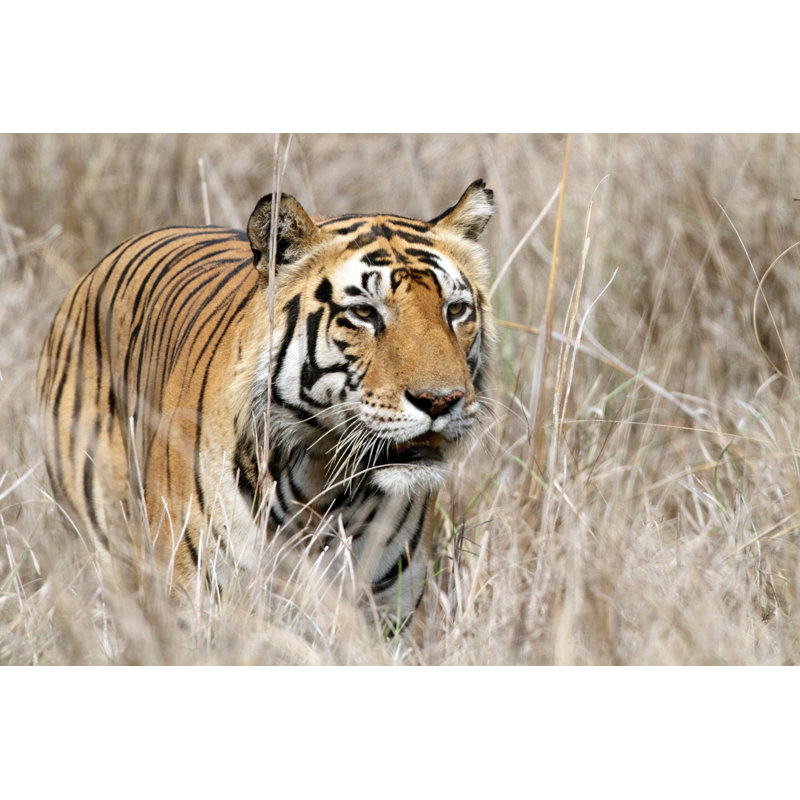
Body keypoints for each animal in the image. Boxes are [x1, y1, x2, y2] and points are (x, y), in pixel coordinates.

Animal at [36, 180, 495, 623]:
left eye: (455, 310)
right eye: (364, 313)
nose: (440, 401)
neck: (324, 483)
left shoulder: (386, 612)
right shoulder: (196, 600)